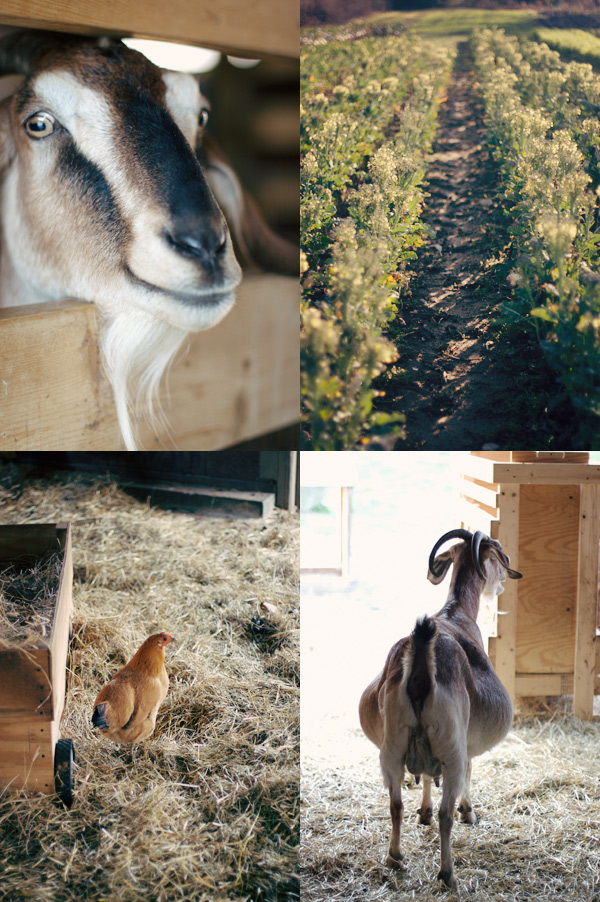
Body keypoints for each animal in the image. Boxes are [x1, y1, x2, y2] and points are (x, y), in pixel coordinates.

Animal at [360, 528, 520, 888]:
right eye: (497, 557)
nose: (504, 580)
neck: (457, 612)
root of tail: (421, 664)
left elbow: (422, 777)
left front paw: (424, 813)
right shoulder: (465, 742)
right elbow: (470, 771)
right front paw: (469, 811)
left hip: (391, 749)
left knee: (395, 804)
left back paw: (395, 857)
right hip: (451, 748)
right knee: (447, 810)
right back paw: (448, 873)